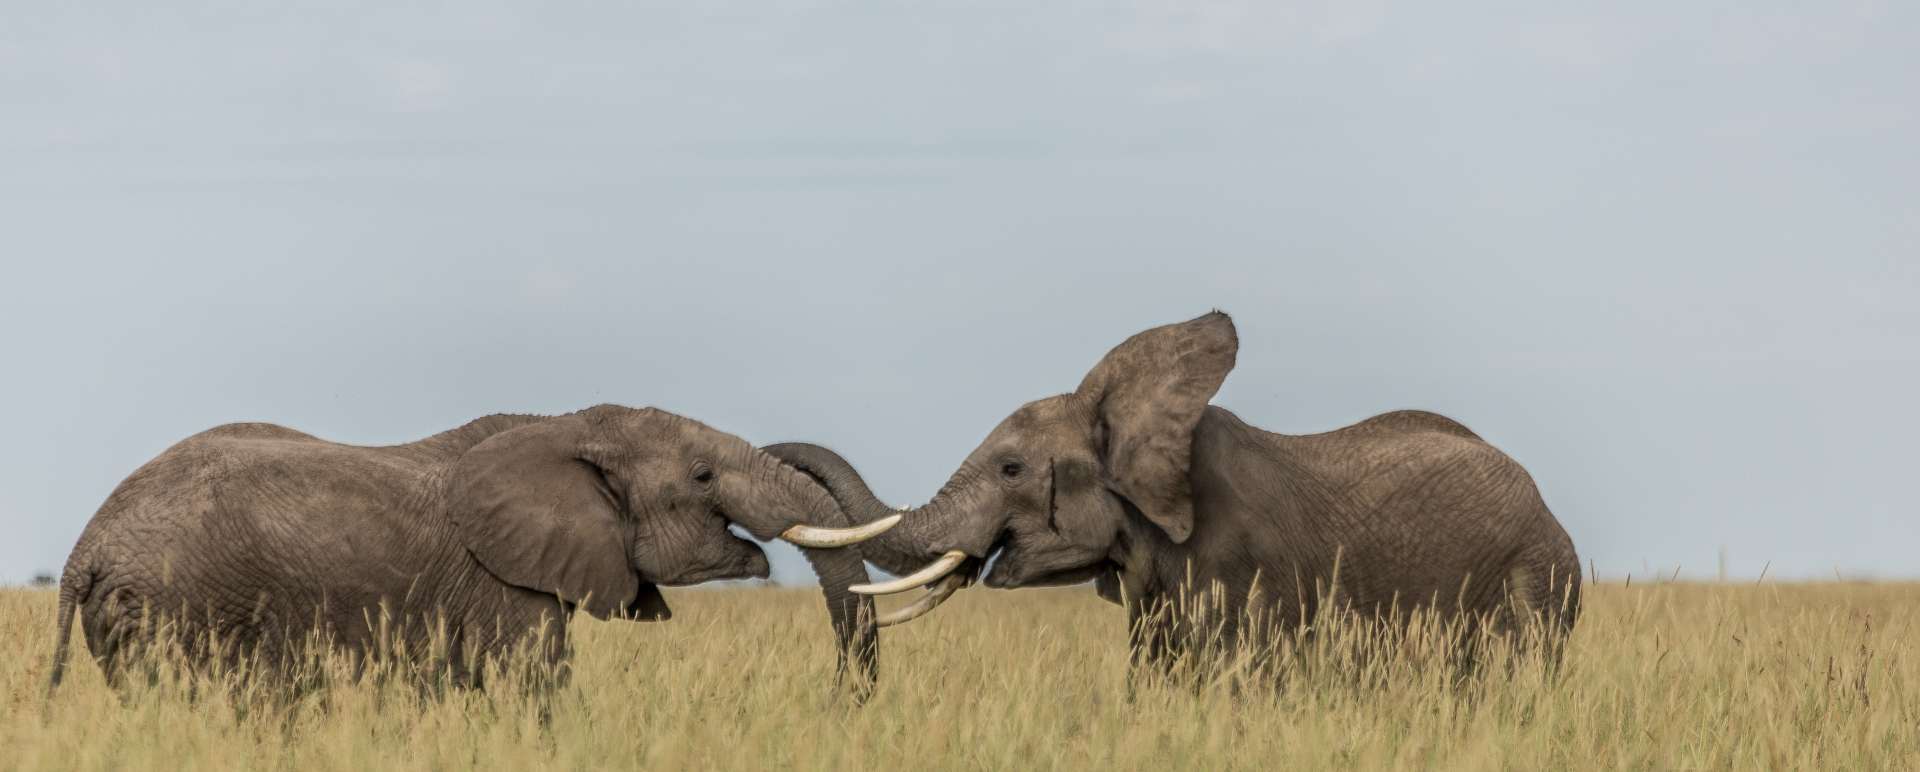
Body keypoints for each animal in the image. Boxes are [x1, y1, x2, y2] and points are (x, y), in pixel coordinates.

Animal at [47, 404, 897, 694]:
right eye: (701, 476)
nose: (834, 704)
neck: (568, 424)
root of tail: (85, 549)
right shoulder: (501, 582)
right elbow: (533, 685)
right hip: (174, 606)